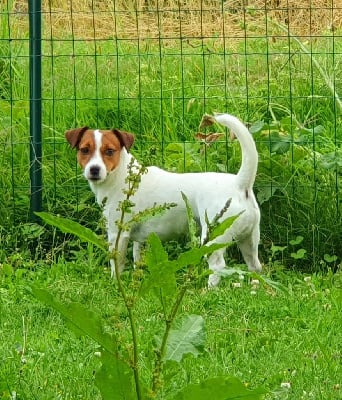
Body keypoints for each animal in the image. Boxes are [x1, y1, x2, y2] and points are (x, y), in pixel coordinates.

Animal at [65, 113, 260, 288]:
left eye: (110, 151)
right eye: (84, 150)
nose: (94, 169)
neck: (121, 176)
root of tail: (239, 183)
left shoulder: (117, 234)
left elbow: (117, 264)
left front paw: (116, 285)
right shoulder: (140, 240)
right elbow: (137, 260)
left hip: (214, 236)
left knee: (218, 266)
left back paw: (209, 290)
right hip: (249, 239)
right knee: (255, 265)